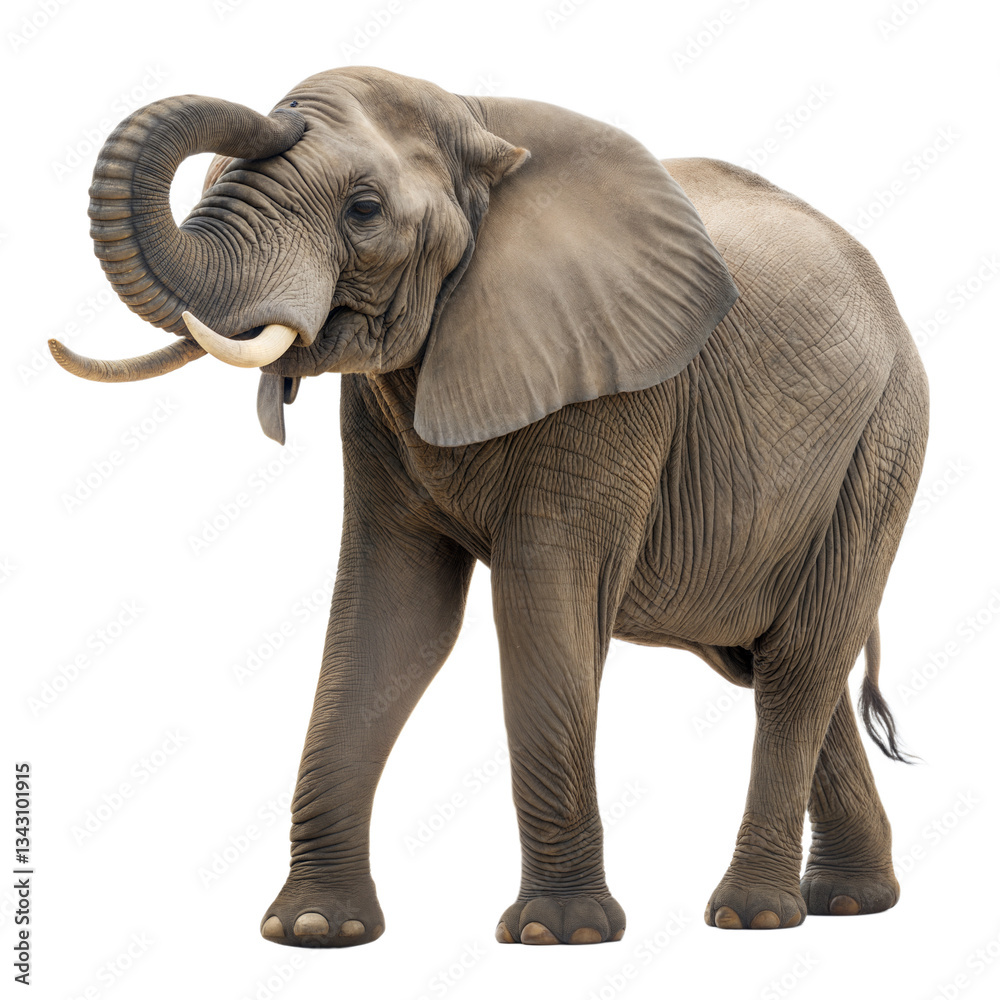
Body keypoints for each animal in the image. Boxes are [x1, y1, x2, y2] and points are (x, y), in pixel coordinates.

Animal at [52, 66, 929, 947]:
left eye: (363, 209)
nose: (287, 110)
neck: (475, 121)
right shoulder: (380, 408)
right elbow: (392, 613)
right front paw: (313, 929)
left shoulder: (615, 381)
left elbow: (545, 602)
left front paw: (557, 933)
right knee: (776, 656)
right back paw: (853, 901)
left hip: (883, 441)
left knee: (799, 665)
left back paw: (755, 915)